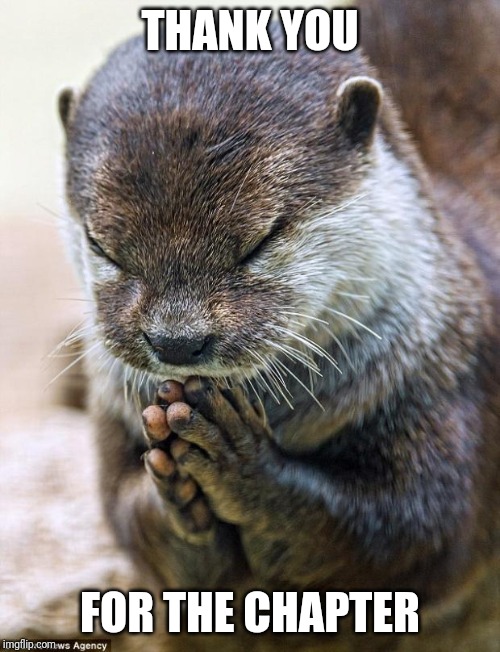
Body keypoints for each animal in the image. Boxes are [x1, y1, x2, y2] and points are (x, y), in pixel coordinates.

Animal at [58, 3, 499, 649]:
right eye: (103, 246)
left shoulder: (450, 375)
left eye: (260, 241)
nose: (176, 340)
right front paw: (175, 498)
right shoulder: (112, 413)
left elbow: (415, 531)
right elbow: (130, 519)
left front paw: (242, 465)